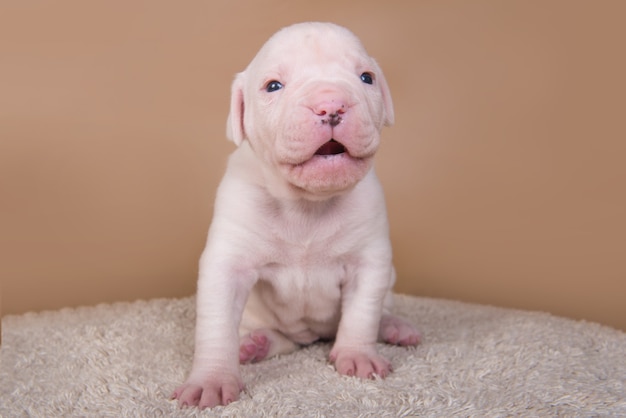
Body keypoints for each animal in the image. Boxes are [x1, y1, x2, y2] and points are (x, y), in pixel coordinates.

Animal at [172, 22, 420, 408]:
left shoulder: (370, 262)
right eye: (273, 86)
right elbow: (216, 328)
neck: (307, 203)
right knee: (277, 338)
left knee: (380, 311)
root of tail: (310, 337)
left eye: (366, 78)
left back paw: (396, 327)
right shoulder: (228, 263)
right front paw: (210, 379)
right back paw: (254, 344)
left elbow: (362, 313)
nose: (330, 105)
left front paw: (358, 355)